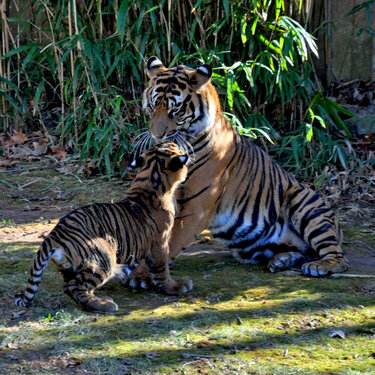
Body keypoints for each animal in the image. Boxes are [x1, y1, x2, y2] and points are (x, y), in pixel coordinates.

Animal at [14, 142, 191, 312]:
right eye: (176, 146)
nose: (183, 145)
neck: (151, 175)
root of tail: (53, 236)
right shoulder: (160, 243)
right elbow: (162, 270)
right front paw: (176, 287)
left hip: (71, 268)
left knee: (72, 286)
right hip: (104, 258)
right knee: (73, 286)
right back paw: (105, 305)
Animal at [138, 57, 350, 278]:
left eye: (175, 110)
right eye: (152, 106)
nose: (156, 135)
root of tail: (339, 226)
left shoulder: (196, 209)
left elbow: (171, 242)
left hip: (305, 204)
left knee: (339, 257)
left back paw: (319, 266)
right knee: (303, 251)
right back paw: (281, 261)